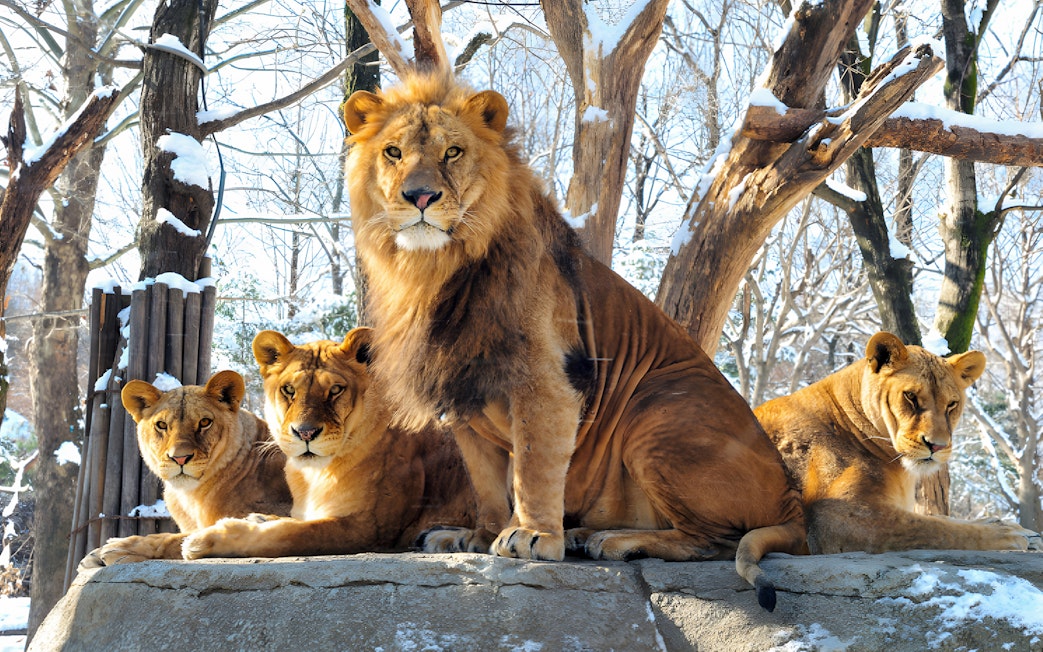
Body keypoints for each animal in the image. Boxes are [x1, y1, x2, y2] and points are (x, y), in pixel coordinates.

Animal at [88, 371, 292, 565]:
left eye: (204, 422)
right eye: (161, 425)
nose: (180, 458)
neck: (190, 496)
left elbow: (175, 539)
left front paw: (118, 547)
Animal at [181, 328, 477, 559]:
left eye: (335, 390)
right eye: (289, 390)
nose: (305, 433)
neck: (313, 475)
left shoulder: (367, 528)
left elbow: (291, 534)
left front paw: (206, 540)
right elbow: (288, 522)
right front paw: (258, 518)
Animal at [342, 73, 805, 610]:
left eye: (452, 152)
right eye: (393, 152)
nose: (420, 197)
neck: (432, 270)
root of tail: (794, 499)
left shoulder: (545, 383)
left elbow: (534, 468)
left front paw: (533, 535)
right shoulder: (463, 396)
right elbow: (486, 482)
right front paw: (477, 536)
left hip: (656, 409)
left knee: (715, 541)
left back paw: (614, 541)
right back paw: (588, 534)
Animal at [754, 331, 1039, 554]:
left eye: (951, 404)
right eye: (910, 396)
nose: (937, 446)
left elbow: (940, 518)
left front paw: (1009, 525)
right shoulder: (832, 518)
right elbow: (935, 528)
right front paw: (1010, 536)